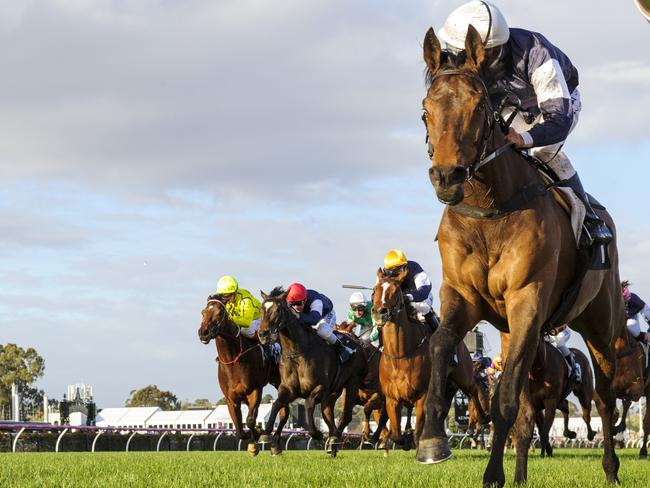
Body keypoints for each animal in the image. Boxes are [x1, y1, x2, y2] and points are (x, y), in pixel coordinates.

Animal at [195, 296, 286, 456]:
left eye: (219, 313)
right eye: (203, 312)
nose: (203, 332)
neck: (234, 360)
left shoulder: (255, 390)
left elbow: (250, 420)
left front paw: (258, 436)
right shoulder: (231, 399)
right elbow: (239, 429)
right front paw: (253, 440)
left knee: (284, 412)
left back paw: (274, 443)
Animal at [258, 288, 370, 456]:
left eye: (277, 310)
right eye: (261, 309)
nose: (263, 334)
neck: (297, 352)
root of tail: (357, 342)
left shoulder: (320, 387)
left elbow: (309, 403)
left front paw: (316, 433)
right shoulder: (288, 389)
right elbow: (277, 404)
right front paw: (266, 435)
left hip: (352, 383)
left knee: (345, 416)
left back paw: (334, 439)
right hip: (334, 391)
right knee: (327, 412)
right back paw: (333, 440)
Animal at [372, 268, 484, 452]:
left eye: (395, 291)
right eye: (375, 290)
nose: (379, 312)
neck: (400, 355)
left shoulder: (422, 396)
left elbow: (418, 431)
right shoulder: (392, 399)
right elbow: (396, 434)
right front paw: (405, 440)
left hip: (464, 376)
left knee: (473, 391)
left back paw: (480, 424)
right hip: (449, 384)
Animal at [418, 26, 620, 488]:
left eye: (479, 108)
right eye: (425, 111)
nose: (447, 177)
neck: (490, 209)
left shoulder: (528, 299)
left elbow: (506, 399)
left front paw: (493, 474)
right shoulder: (463, 297)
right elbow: (439, 345)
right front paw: (433, 441)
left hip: (600, 323)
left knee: (604, 396)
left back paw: (611, 468)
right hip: (514, 332)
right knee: (531, 413)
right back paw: (524, 473)